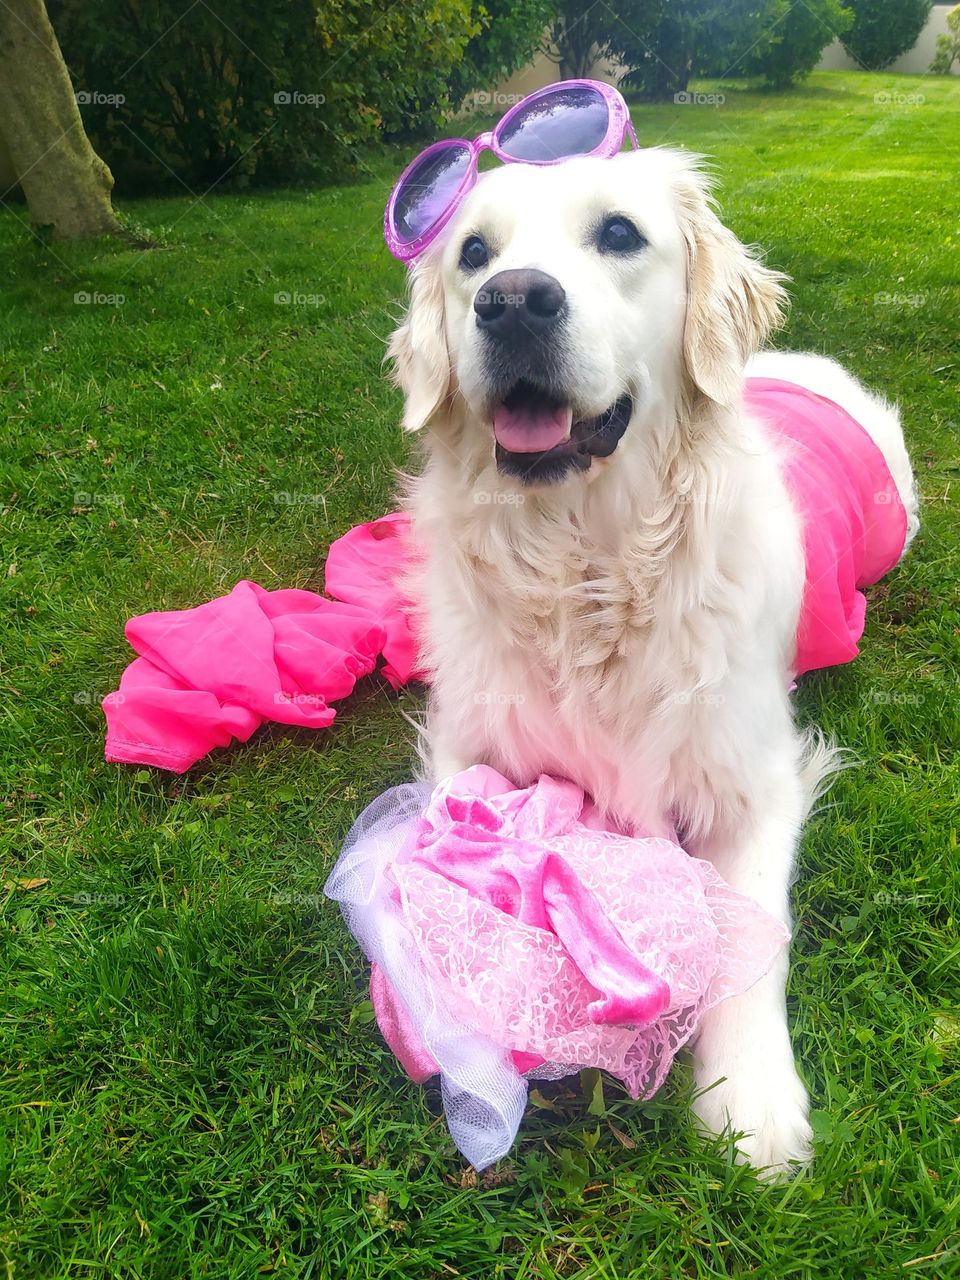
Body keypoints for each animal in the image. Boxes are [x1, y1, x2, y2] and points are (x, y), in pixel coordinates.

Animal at [386, 149, 921, 1177]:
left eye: (620, 234)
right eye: (474, 253)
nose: (512, 301)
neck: (587, 568)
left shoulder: (757, 781)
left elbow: (752, 930)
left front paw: (751, 1099)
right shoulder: (467, 743)